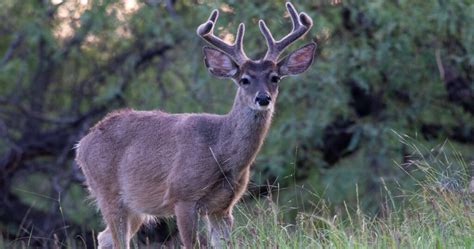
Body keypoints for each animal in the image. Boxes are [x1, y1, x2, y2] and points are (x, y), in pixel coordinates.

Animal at [76, 2, 314, 249]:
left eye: (275, 77)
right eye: (244, 80)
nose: (263, 98)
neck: (219, 150)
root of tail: (81, 145)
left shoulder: (223, 206)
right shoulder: (183, 196)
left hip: (135, 206)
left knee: (104, 237)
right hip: (108, 193)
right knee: (116, 238)